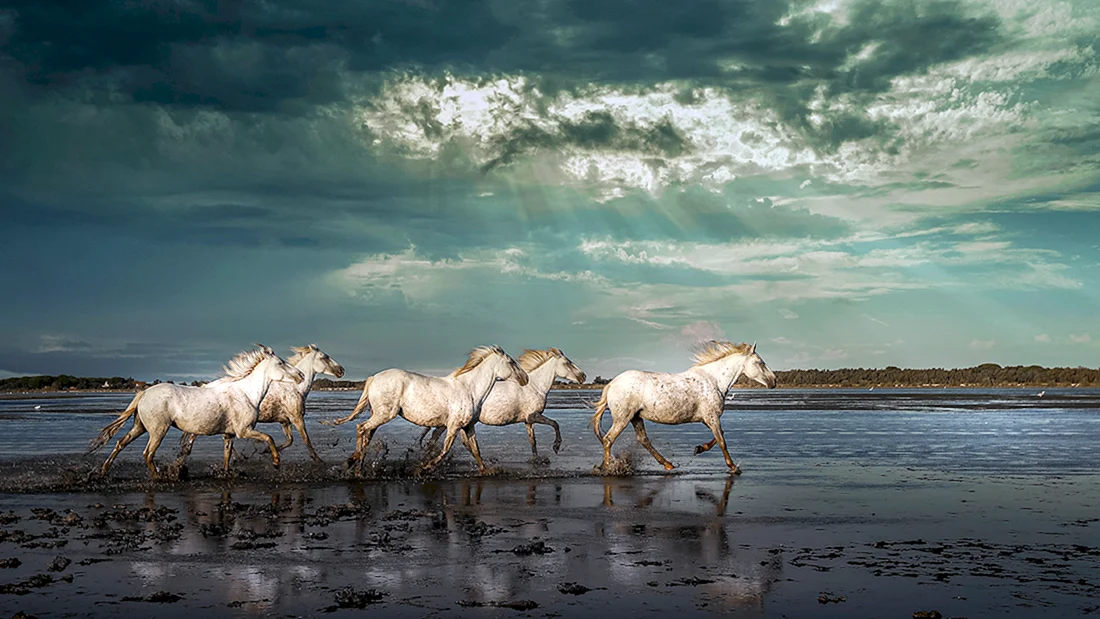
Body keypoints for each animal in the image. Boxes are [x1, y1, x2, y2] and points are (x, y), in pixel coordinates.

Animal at [88, 345, 304, 478]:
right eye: (280, 363)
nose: (301, 375)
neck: (246, 393)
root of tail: (145, 392)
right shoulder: (244, 430)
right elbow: (269, 438)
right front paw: (276, 462)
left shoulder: (229, 434)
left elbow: (227, 456)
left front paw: (226, 473)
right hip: (158, 430)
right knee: (147, 453)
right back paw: (158, 476)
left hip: (139, 427)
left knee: (120, 443)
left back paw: (103, 471)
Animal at [178, 344, 345, 464]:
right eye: (325, 357)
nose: (341, 370)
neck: (294, 388)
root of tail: (206, 386)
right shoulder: (297, 418)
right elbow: (306, 440)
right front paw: (318, 460)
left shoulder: (285, 421)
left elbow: (289, 441)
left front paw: (266, 451)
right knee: (194, 434)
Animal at [324, 345, 528, 474]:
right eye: (511, 362)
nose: (525, 378)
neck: (469, 389)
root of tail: (374, 377)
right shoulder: (453, 426)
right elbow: (445, 449)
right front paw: (424, 468)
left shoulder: (468, 426)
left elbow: (476, 450)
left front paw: (486, 471)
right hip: (384, 414)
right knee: (361, 428)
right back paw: (354, 466)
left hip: (379, 415)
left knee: (367, 434)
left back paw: (355, 465)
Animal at [417, 348, 586, 458]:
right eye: (568, 363)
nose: (583, 376)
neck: (535, 386)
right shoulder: (533, 416)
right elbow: (555, 424)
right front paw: (556, 447)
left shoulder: (528, 421)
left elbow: (533, 441)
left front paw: (537, 460)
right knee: (435, 438)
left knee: (434, 438)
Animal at [590, 340, 776, 474]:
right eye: (760, 362)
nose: (774, 381)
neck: (713, 380)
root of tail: (612, 384)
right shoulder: (712, 417)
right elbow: (722, 441)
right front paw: (733, 467)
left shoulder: (708, 418)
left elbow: (719, 436)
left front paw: (699, 448)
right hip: (623, 418)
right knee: (608, 440)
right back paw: (607, 469)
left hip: (636, 417)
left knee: (642, 440)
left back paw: (668, 464)